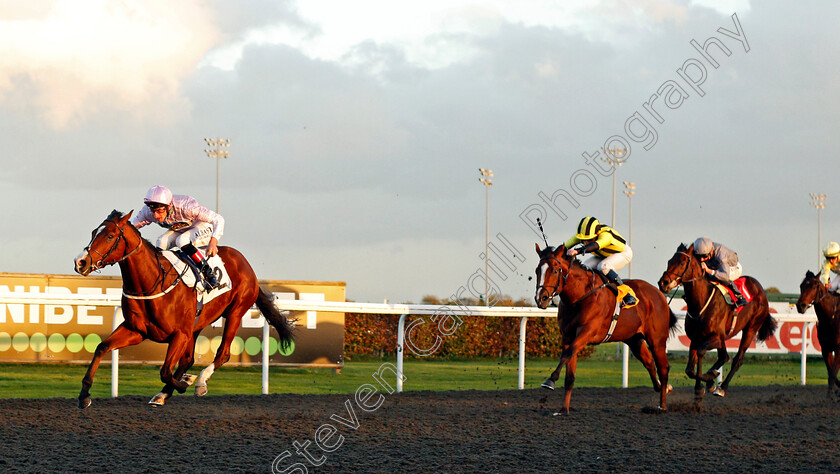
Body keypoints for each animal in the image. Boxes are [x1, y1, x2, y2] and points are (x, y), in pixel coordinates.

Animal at [73, 210, 296, 408]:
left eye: (110, 236)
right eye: (94, 232)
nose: (80, 262)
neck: (153, 282)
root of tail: (243, 261)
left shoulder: (179, 333)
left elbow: (165, 371)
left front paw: (183, 384)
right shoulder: (136, 330)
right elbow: (101, 347)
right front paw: (84, 395)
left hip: (235, 311)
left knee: (222, 353)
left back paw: (200, 382)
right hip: (196, 325)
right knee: (188, 359)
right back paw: (168, 391)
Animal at [540, 246, 676, 412]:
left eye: (554, 270)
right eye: (537, 270)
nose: (541, 298)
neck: (579, 297)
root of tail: (660, 294)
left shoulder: (587, 332)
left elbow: (567, 354)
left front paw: (550, 381)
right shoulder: (567, 336)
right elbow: (569, 373)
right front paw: (563, 410)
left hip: (657, 340)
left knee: (663, 368)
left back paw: (662, 405)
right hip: (634, 338)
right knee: (649, 362)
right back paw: (664, 388)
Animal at [656, 243, 776, 402]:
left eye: (681, 263)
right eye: (669, 261)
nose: (663, 283)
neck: (700, 302)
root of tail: (761, 290)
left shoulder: (715, 337)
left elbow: (702, 353)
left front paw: (710, 379)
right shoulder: (696, 338)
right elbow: (690, 369)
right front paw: (702, 386)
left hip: (750, 329)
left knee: (736, 359)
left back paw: (722, 387)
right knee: (723, 356)